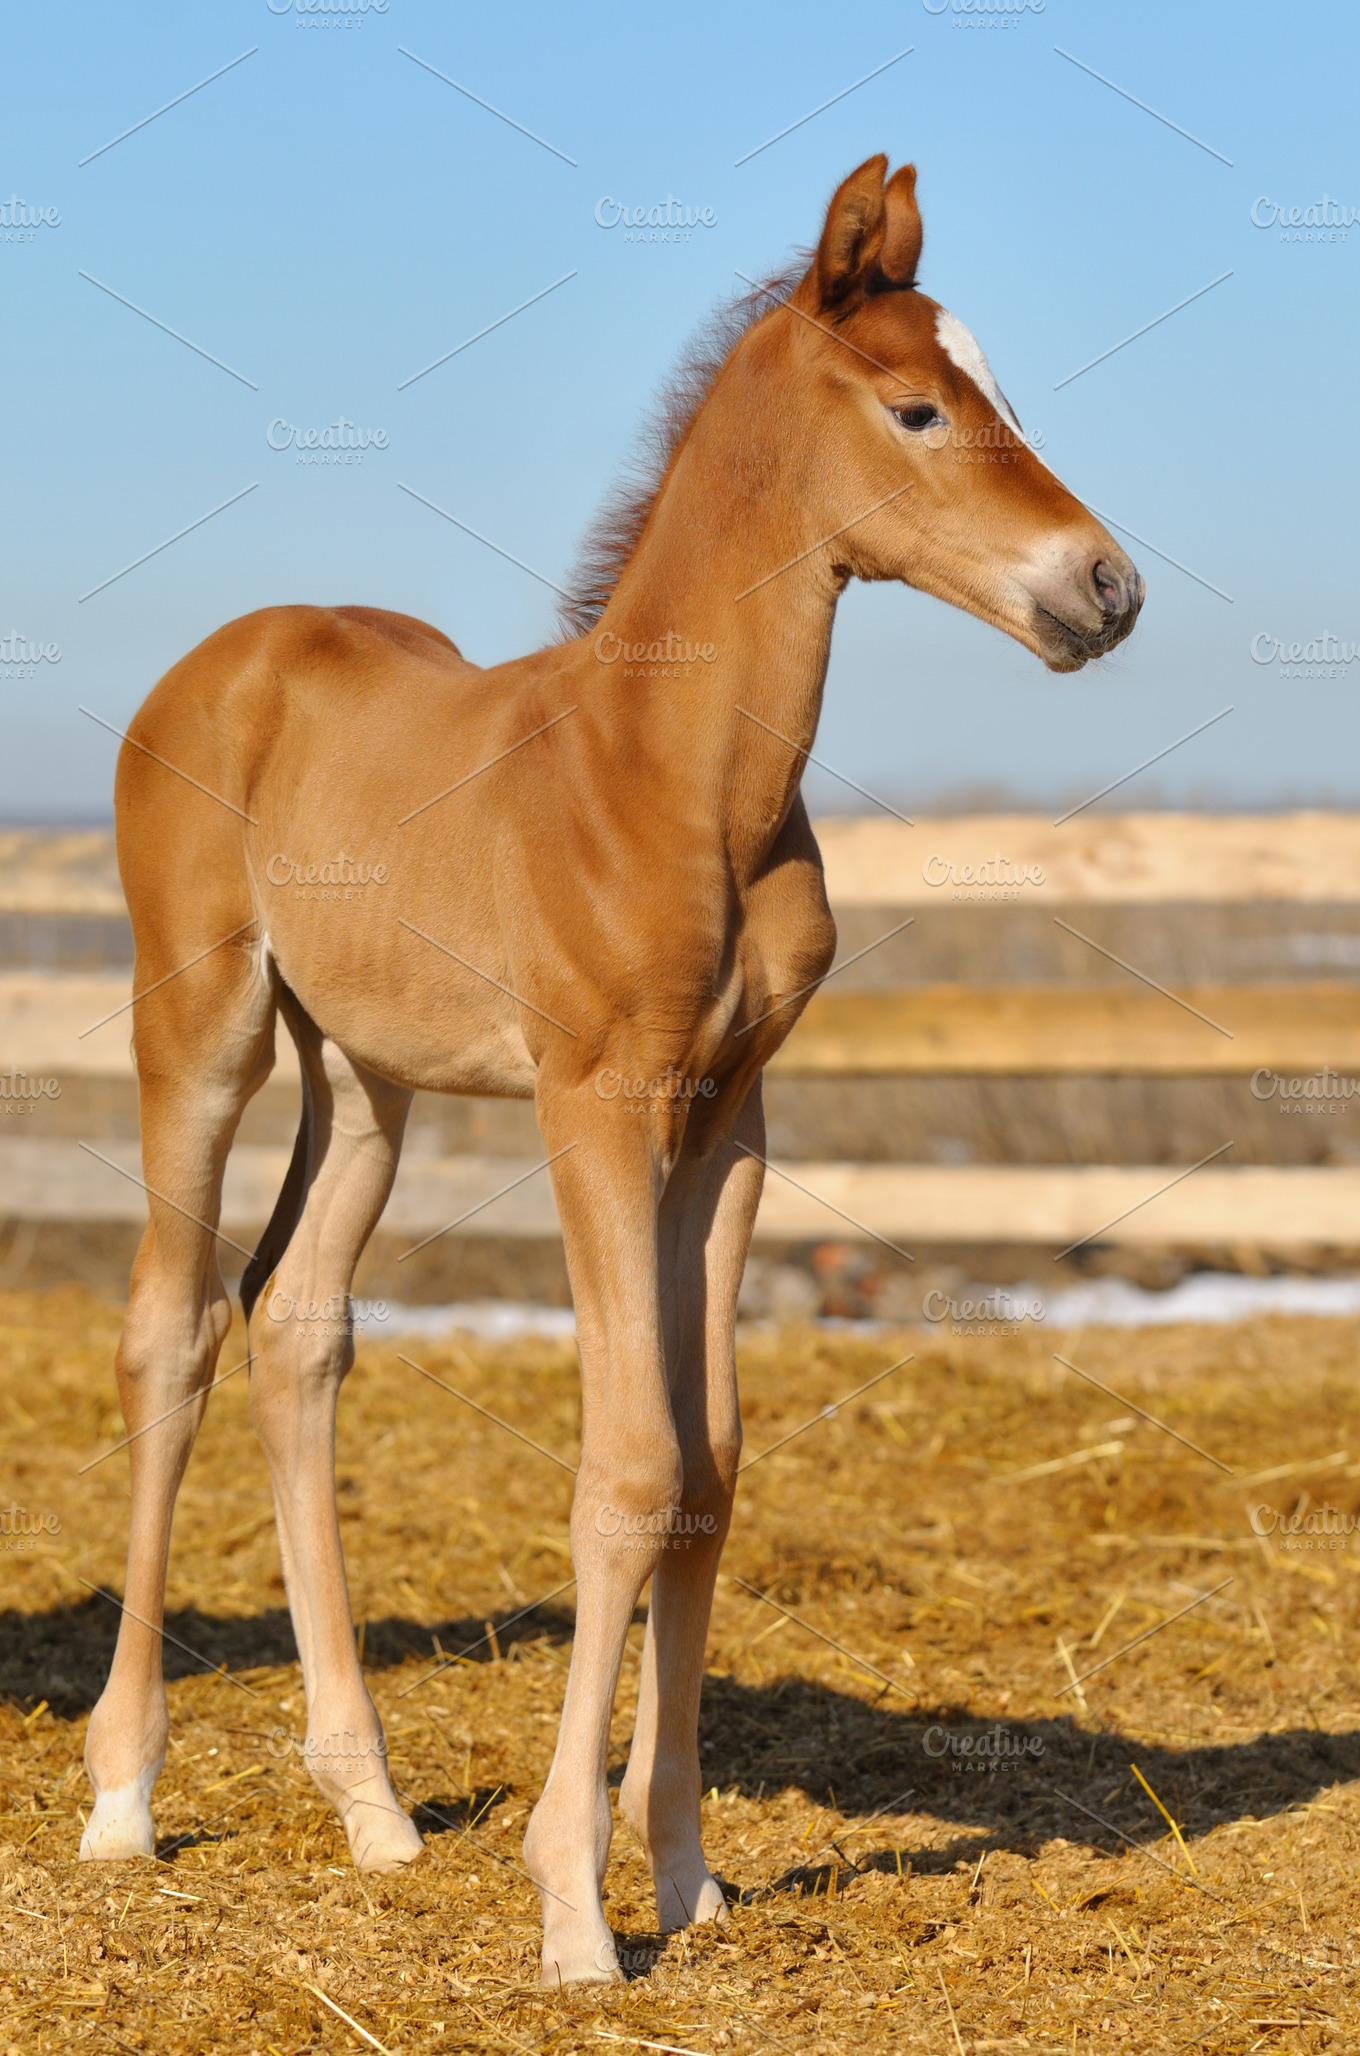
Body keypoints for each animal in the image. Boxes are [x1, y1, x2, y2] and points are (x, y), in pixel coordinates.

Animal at [82, 152, 1135, 1981]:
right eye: (921, 409)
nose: (1105, 590)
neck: (675, 775)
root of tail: (231, 655)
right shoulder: (596, 1102)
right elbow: (628, 1469)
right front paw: (574, 1907)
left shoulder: (728, 1122)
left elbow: (709, 1472)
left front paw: (687, 1874)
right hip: (201, 1024)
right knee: (175, 1332)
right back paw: (125, 1799)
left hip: (369, 1076)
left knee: (295, 1326)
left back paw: (371, 1811)